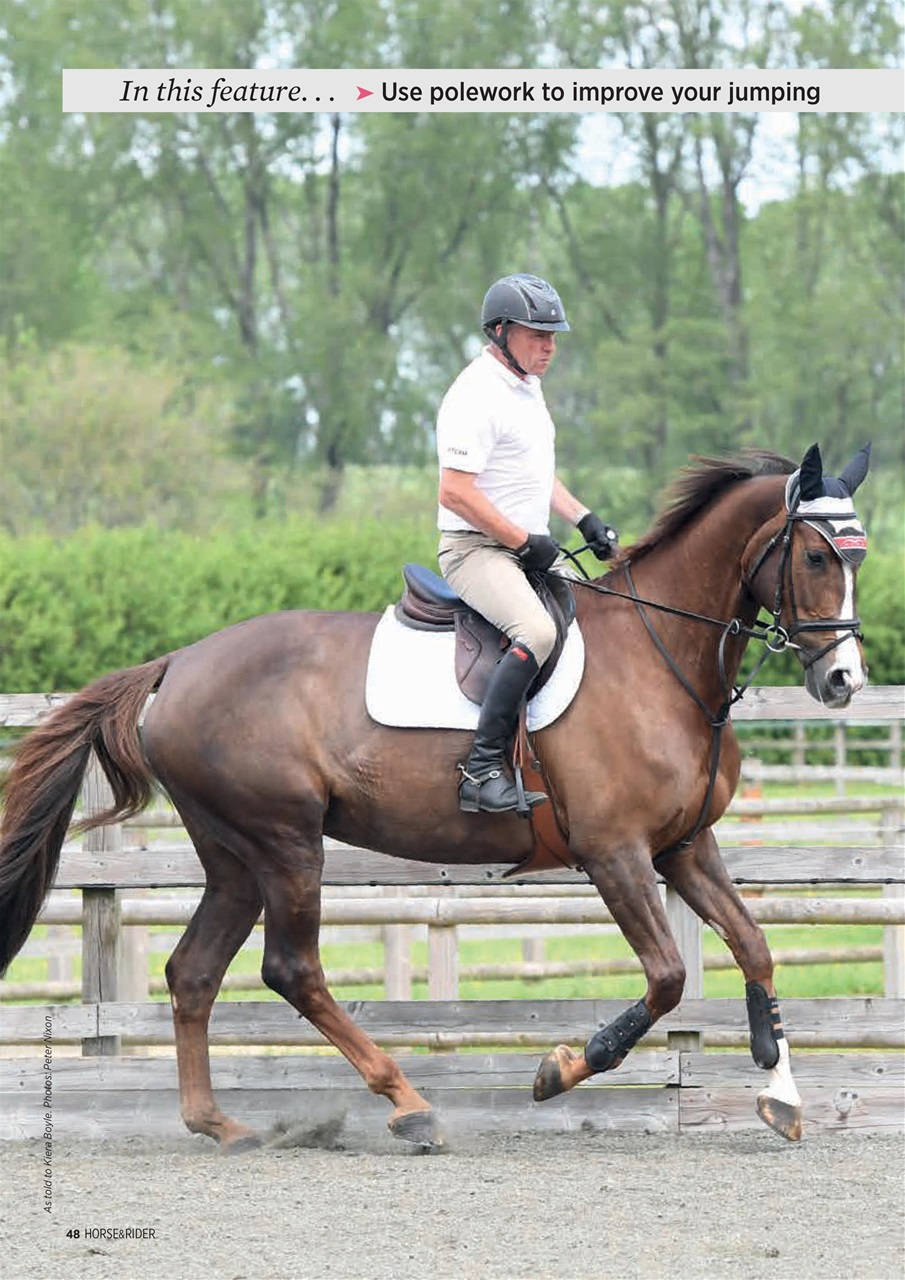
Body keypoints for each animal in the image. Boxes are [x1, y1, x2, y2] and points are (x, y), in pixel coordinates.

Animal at [0, 442, 871, 1151]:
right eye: (816, 558)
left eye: (856, 559)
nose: (842, 681)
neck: (658, 656)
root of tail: (176, 664)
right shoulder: (614, 852)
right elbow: (666, 977)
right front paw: (559, 1069)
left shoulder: (684, 846)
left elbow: (753, 947)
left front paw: (782, 1096)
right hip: (285, 843)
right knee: (292, 969)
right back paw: (408, 1105)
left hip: (234, 856)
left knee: (194, 971)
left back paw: (219, 1124)